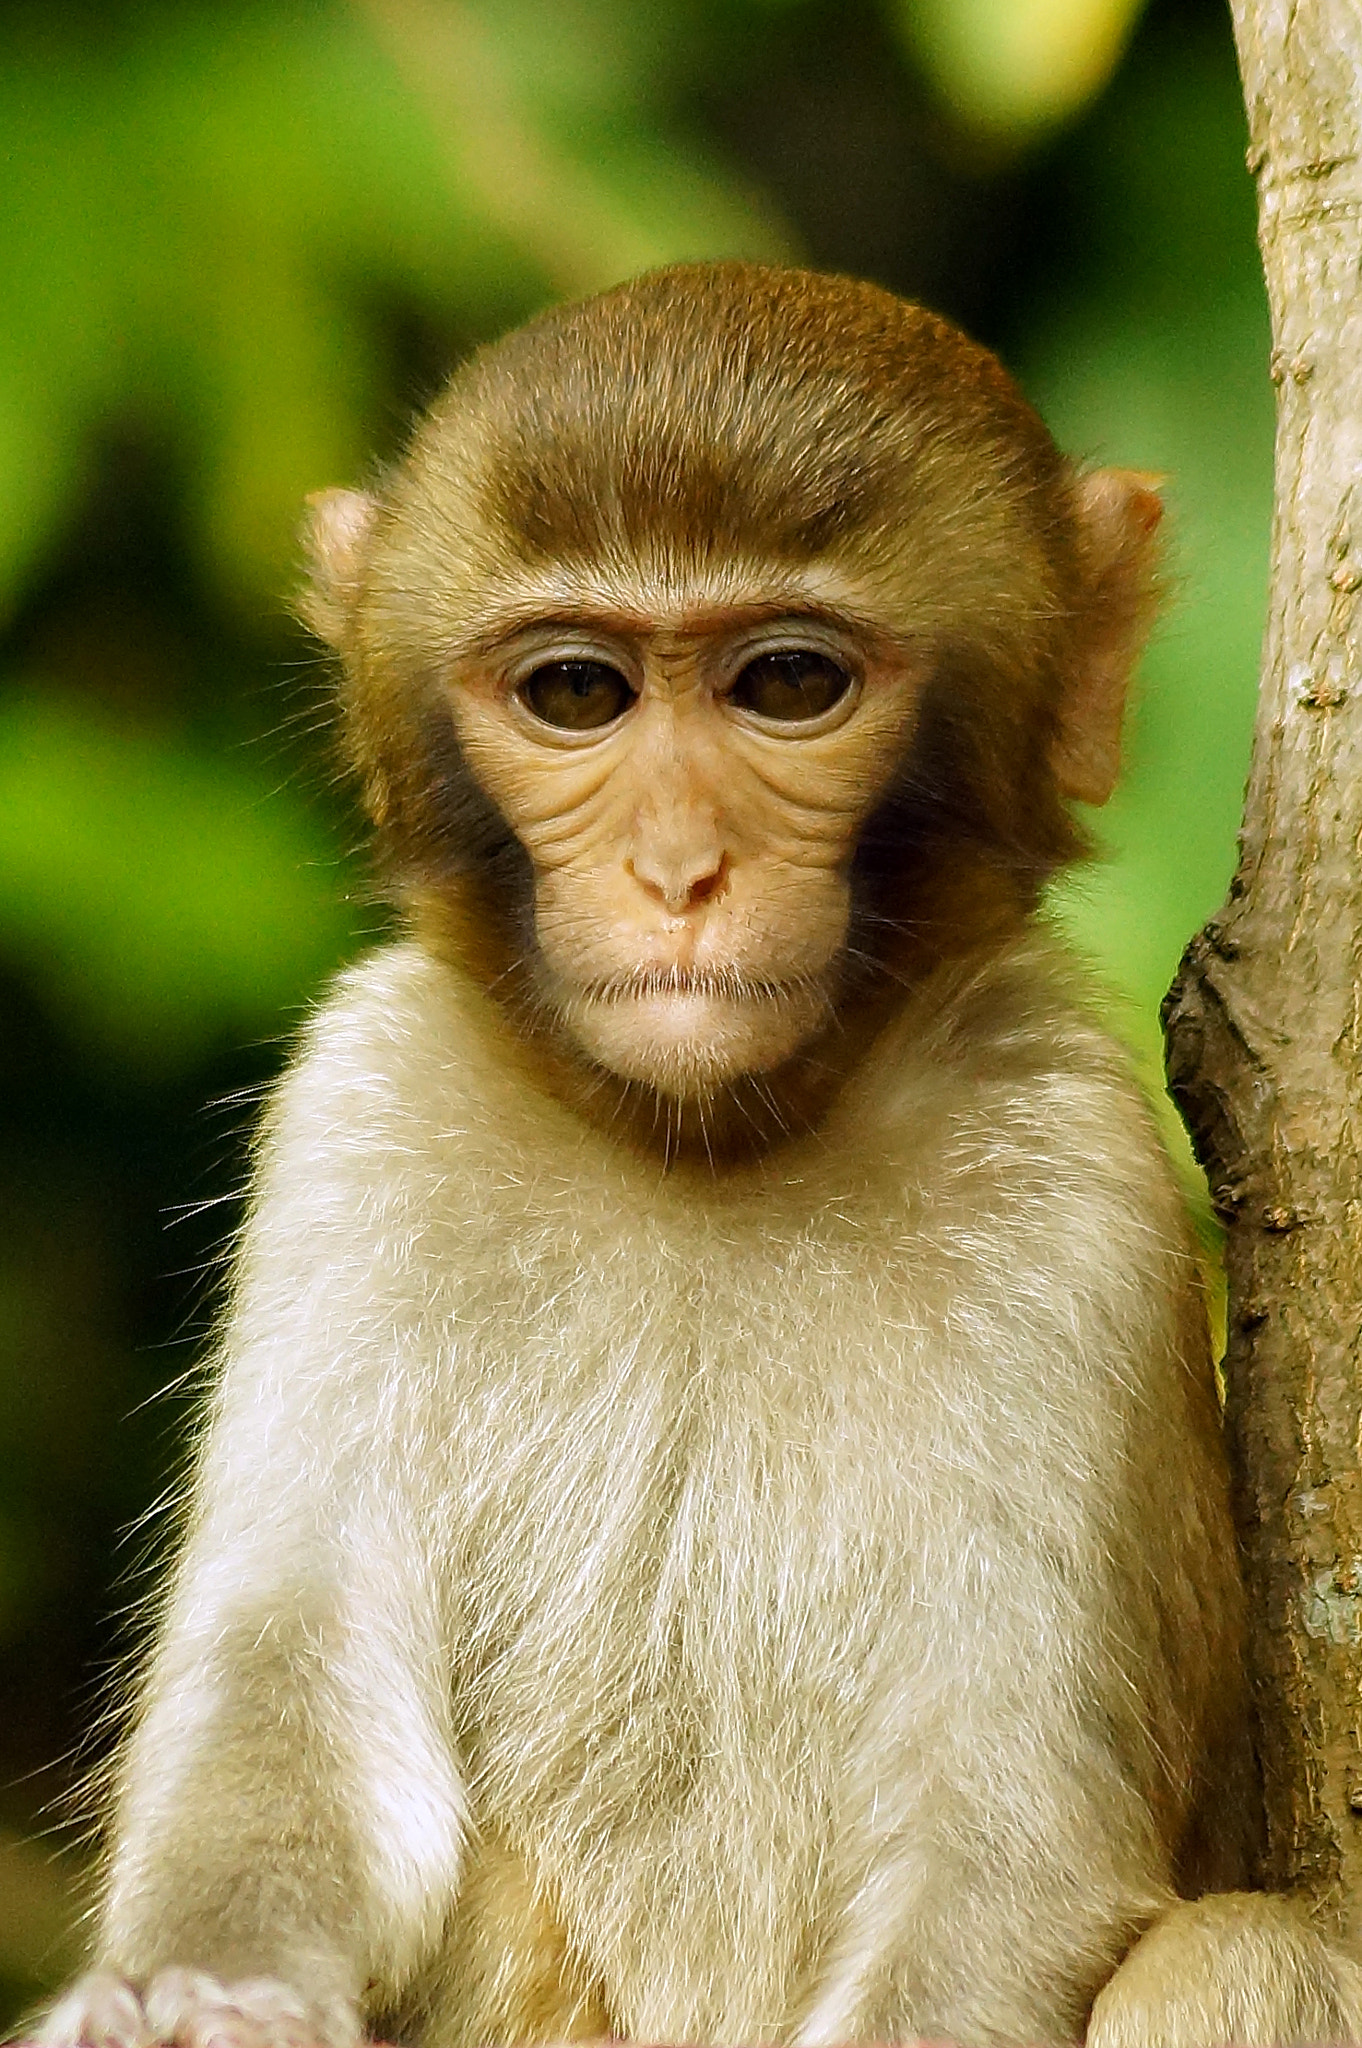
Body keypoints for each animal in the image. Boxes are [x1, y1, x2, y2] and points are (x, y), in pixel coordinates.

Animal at [32, 261, 1362, 2048]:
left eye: (787, 687)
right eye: (576, 693)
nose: (677, 874)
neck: (708, 1148)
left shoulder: (1064, 1172)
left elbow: (995, 1859)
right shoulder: (363, 1102)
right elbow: (291, 1720)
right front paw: (193, 1993)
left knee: (1240, 1958)